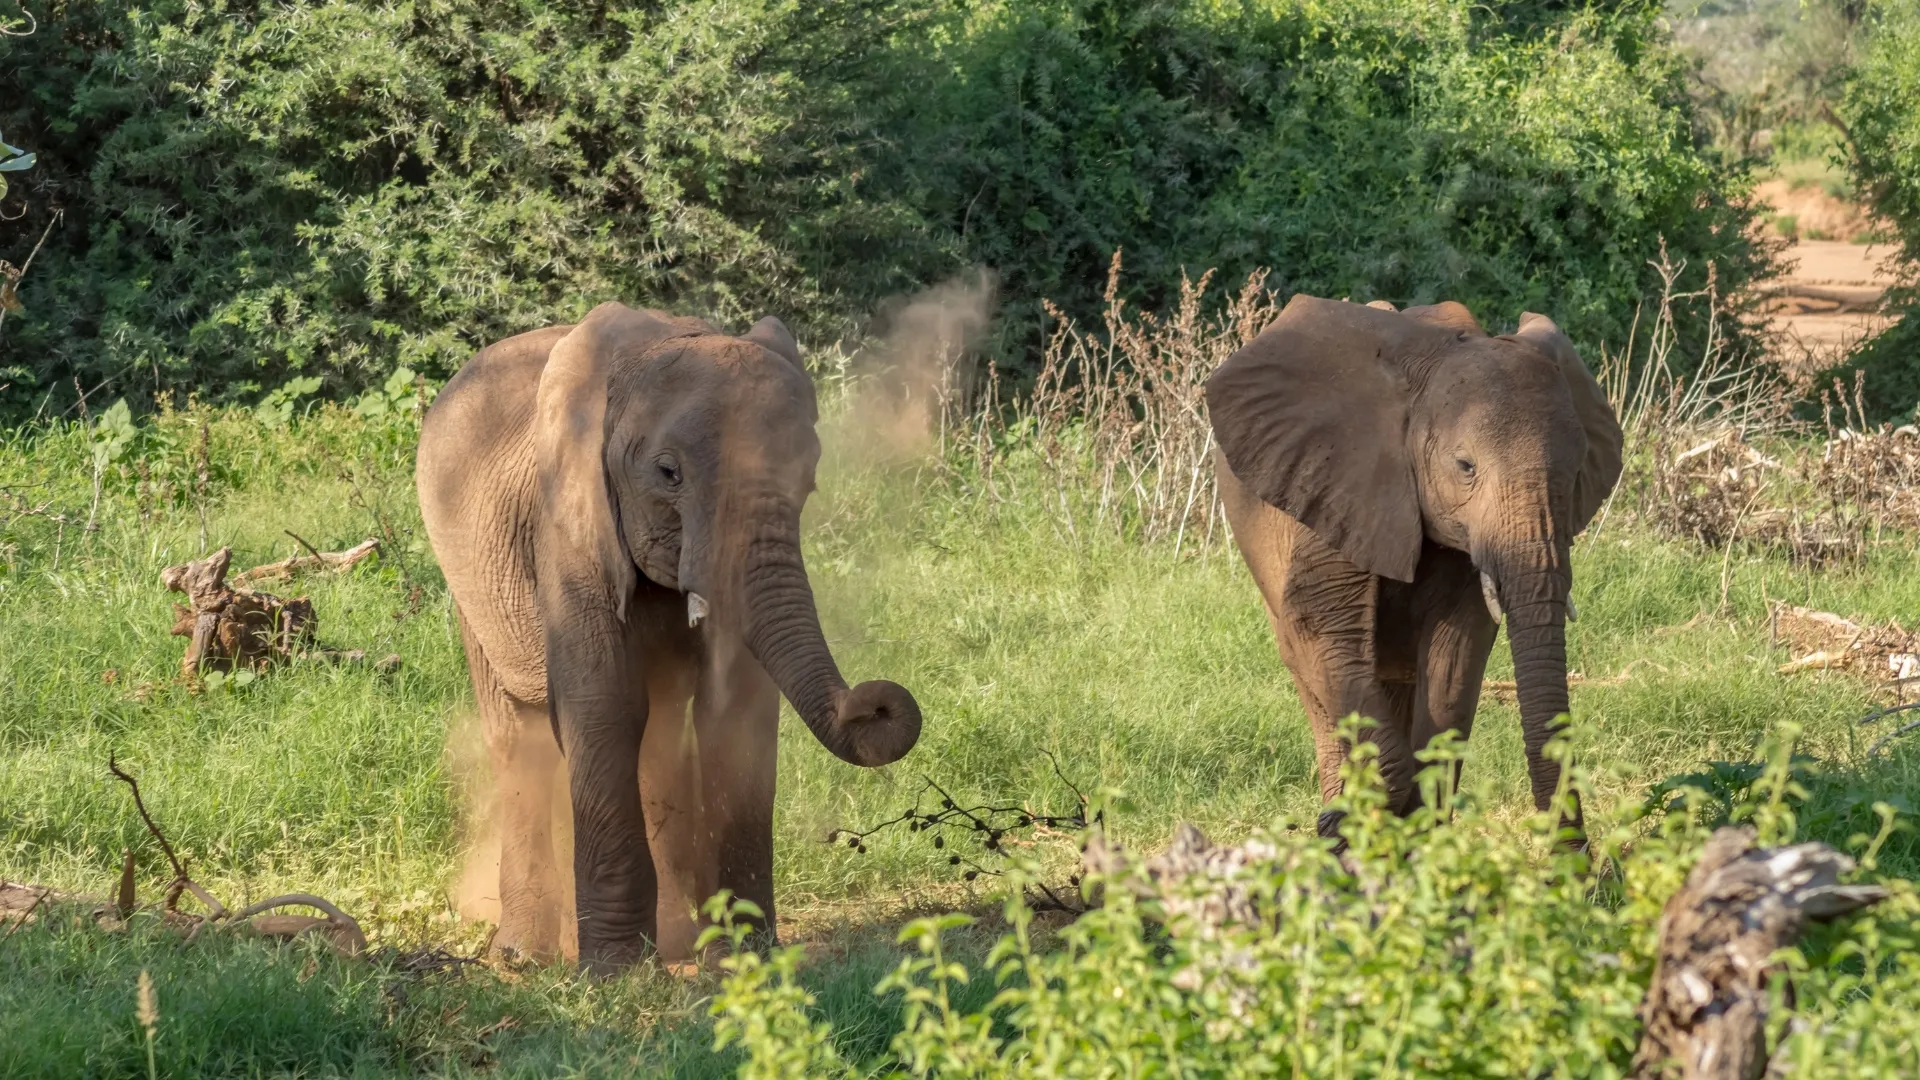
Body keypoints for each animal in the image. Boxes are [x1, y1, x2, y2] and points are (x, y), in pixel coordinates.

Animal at [417, 302, 922, 974]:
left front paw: (744, 955)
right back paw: (525, 954)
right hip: (469, 583)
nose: (874, 703)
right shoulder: (569, 521)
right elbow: (603, 707)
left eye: (809, 477)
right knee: (519, 734)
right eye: (667, 473)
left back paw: (677, 937)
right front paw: (615, 973)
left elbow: (733, 709)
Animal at [1205, 295, 1622, 845]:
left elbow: (1456, 652)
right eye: (1465, 467)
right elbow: (1323, 632)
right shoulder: (1336, 482)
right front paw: (1343, 829)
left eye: (1576, 475)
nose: (1580, 861)